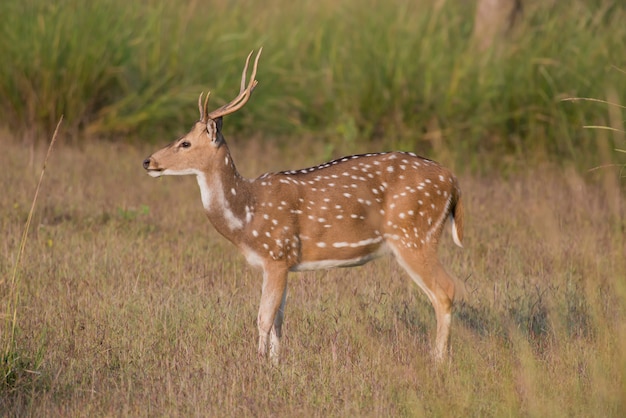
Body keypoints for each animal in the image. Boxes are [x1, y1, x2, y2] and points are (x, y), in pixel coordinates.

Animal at [143, 49, 464, 362]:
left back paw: (439, 361)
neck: (246, 215)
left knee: (445, 290)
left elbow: (262, 318)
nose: (148, 161)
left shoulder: (276, 253)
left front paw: (257, 364)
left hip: (413, 235)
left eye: (185, 143)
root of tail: (453, 181)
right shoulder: (284, 262)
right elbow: (278, 321)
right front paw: (276, 365)